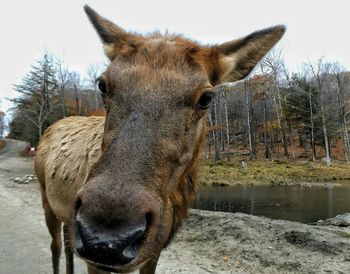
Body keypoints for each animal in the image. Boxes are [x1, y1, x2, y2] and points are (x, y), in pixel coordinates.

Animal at [35, 4, 286, 274]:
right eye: (102, 84)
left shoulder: (156, 248)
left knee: (67, 245)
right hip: (47, 200)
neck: (175, 203)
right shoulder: (95, 260)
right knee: (56, 246)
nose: (105, 236)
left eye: (206, 98)